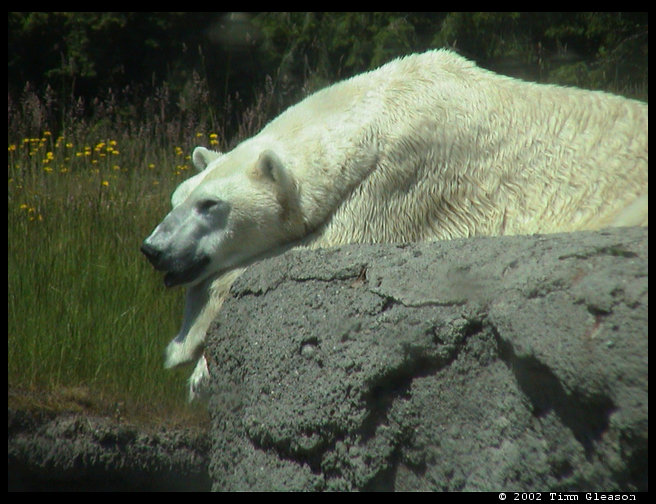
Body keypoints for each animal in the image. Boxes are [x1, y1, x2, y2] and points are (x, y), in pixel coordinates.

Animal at [141, 49, 648, 400]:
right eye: (178, 198)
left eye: (210, 204)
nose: (153, 249)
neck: (390, 101)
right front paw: (189, 351)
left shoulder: (408, 177)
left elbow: (322, 244)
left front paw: (190, 358)